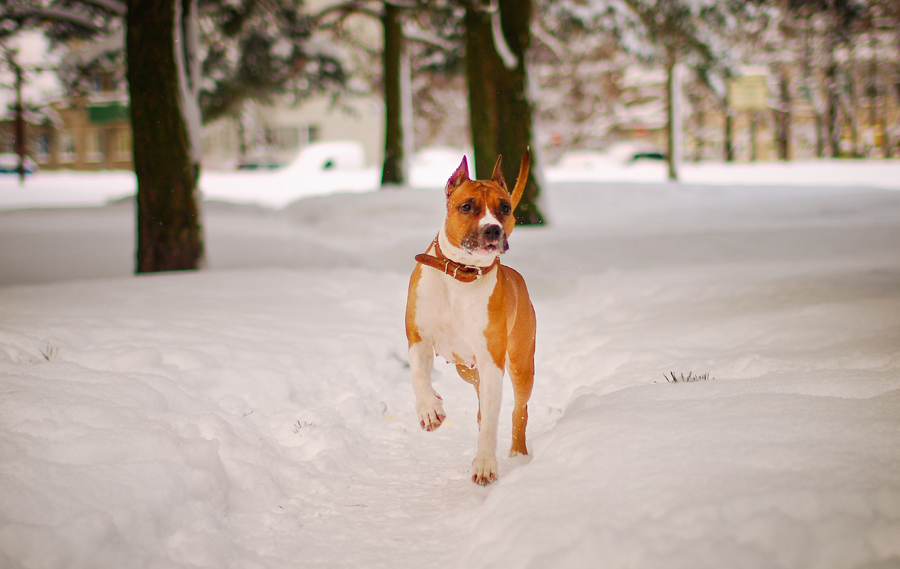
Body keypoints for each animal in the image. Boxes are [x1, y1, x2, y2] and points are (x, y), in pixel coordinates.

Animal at [406, 150, 536, 484]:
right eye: (467, 206)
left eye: (505, 207)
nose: (493, 229)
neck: (460, 274)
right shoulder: (418, 338)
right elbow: (419, 376)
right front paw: (429, 410)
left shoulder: (492, 361)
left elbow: (491, 420)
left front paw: (486, 464)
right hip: (466, 369)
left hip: (520, 365)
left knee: (519, 409)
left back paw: (518, 452)